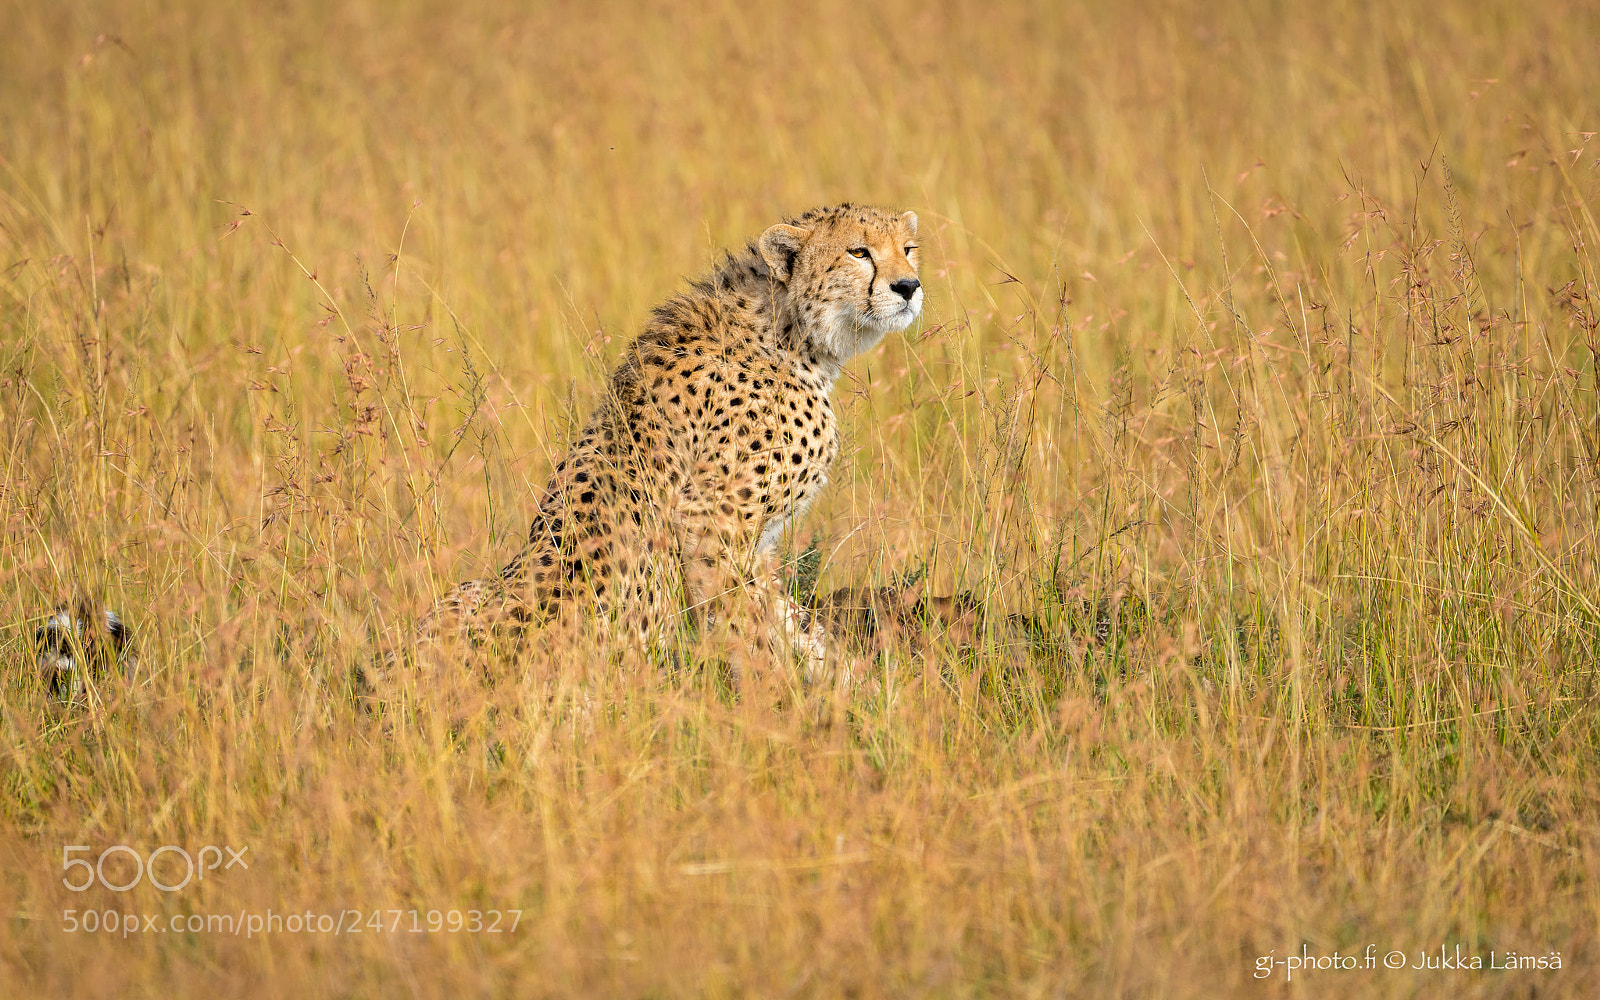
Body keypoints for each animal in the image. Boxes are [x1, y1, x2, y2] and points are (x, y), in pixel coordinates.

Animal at [408, 204, 923, 679]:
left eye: (908, 249)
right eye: (859, 252)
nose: (908, 287)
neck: (789, 328)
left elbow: (784, 616)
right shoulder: (710, 519)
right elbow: (752, 621)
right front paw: (787, 692)